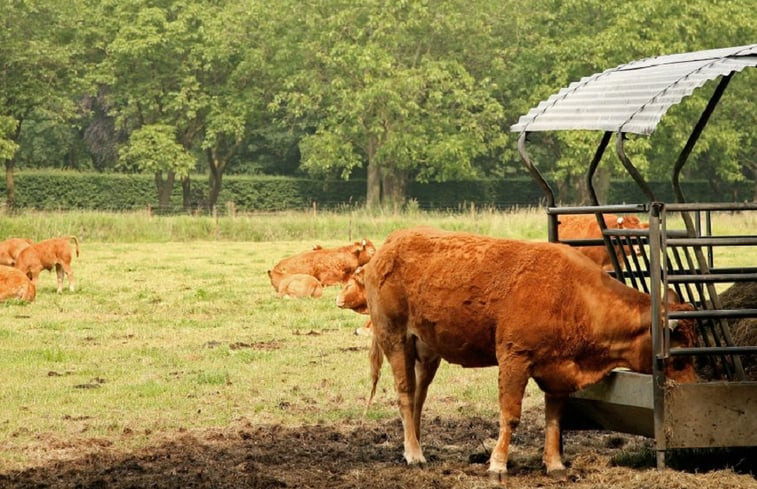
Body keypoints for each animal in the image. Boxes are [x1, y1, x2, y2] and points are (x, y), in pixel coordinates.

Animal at [364, 227, 692, 478]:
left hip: (428, 350)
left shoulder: (560, 371)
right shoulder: (514, 359)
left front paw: (555, 463)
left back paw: (416, 446)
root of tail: (390, 244)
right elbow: (510, 415)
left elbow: (554, 419)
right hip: (395, 339)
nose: (688, 392)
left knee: (419, 397)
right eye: (681, 355)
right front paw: (497, 464)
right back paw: (414, 454)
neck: (572, 296)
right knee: (406, 395)